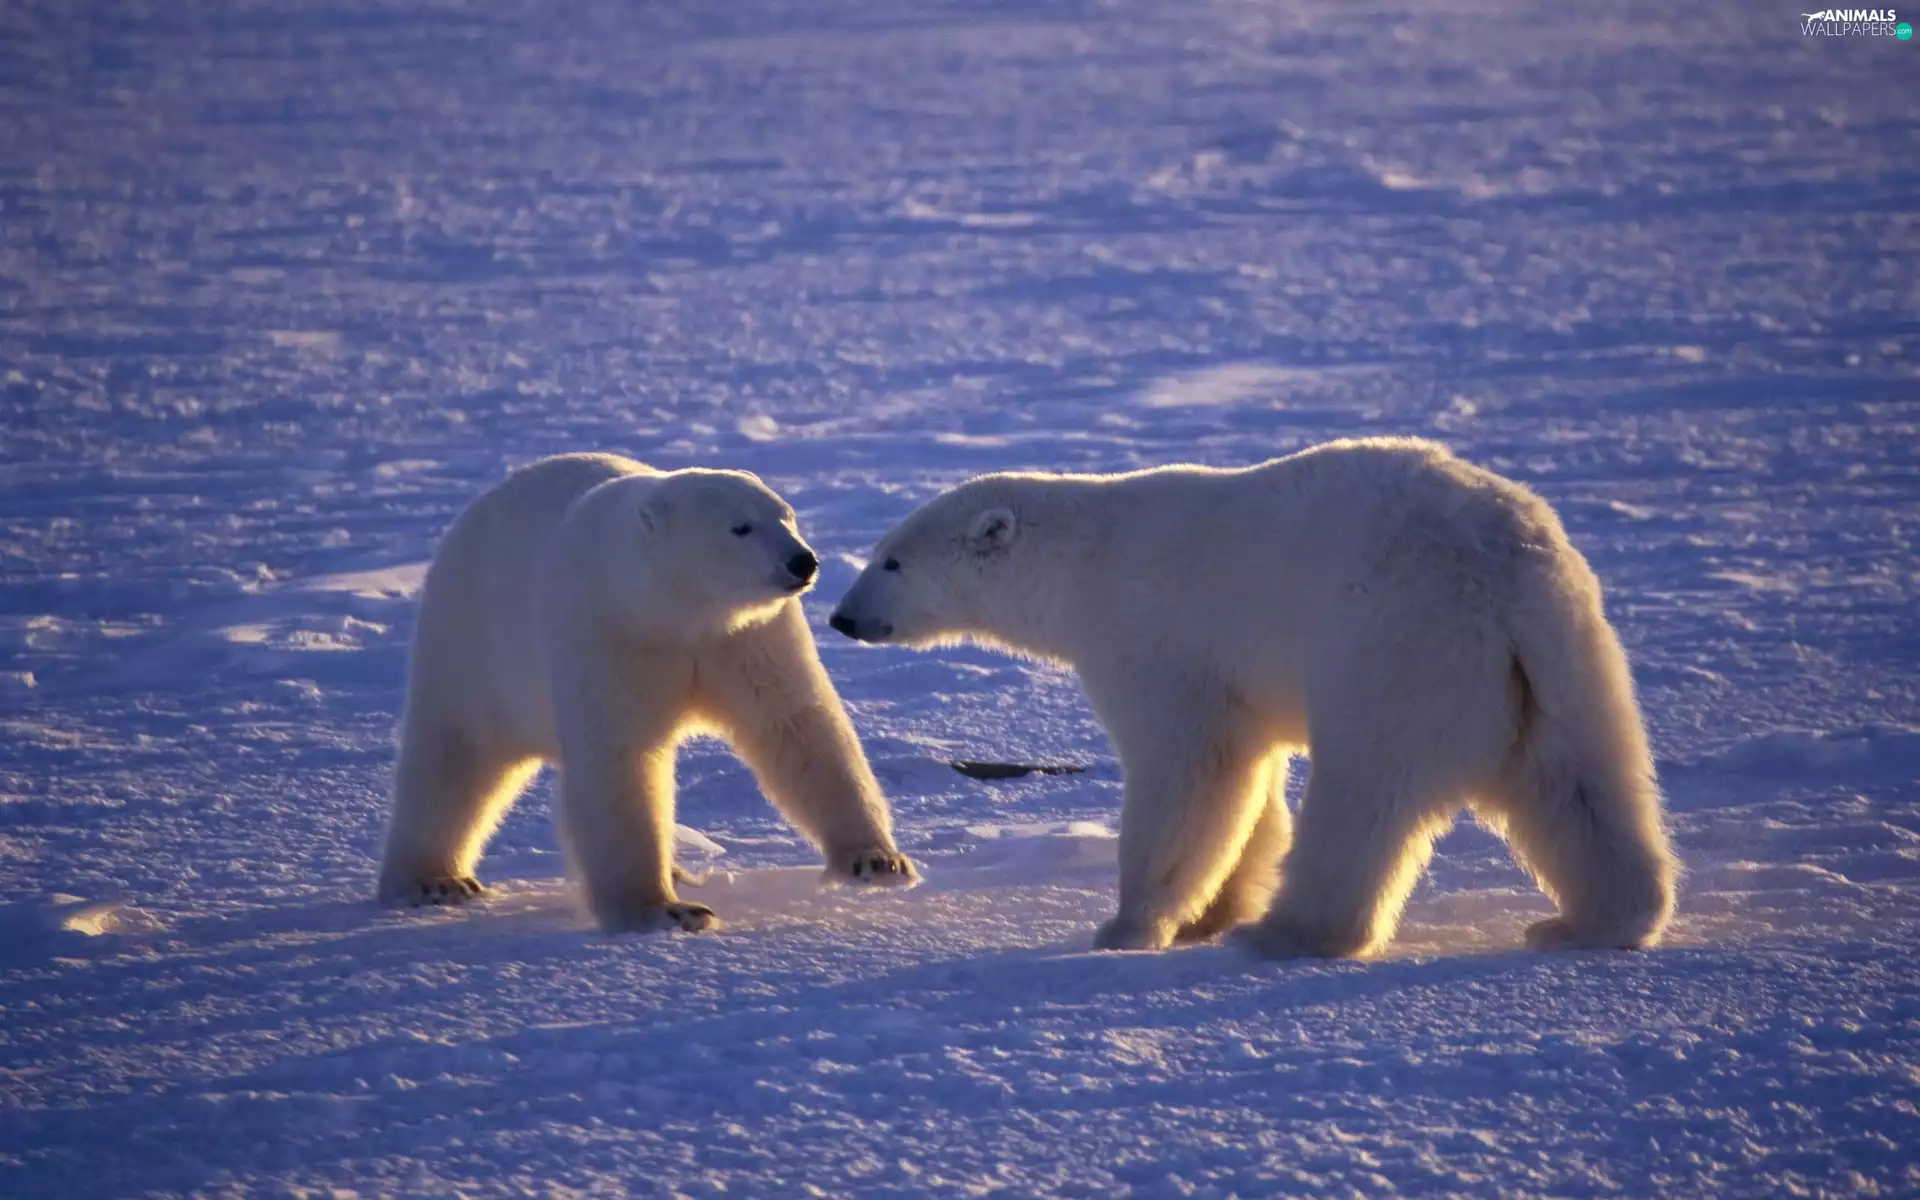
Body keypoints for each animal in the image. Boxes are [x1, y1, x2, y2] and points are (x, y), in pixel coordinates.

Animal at [377, 453, 917, 933]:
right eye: (741, 528)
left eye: (786, 515)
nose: (802, 560)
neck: (670, 608)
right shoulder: (609, 633)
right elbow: (619, 759)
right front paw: (665, 911)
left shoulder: (744, 638)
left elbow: (795, 725)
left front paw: (875, 861)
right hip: (472, 644)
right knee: (453, 758)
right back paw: (434, 880)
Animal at [830, 437, 1677, 959]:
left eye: (893, 561)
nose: (842, 617)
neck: (1086, 560)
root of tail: (1505, 567)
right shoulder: (1234, 680)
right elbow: (1249, 783)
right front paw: (1211, 912)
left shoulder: (1153, 639)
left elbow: (1191, 773)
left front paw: (1128, 925)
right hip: (1555, 658)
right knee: (1577, 784)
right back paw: (1591, 920)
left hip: (1394, 643)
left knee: (1364, 793)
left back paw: (1292, 932)